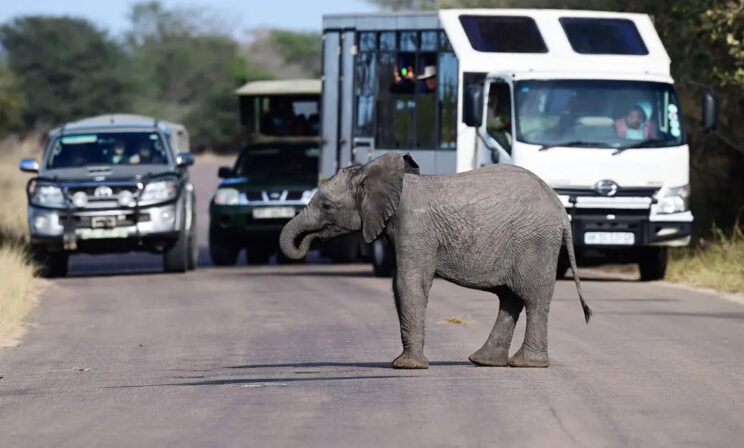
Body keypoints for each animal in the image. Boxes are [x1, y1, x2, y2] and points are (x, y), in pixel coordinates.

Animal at [280, 152, 592, 370]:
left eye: (326, 206)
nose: (307, 243)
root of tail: (560, 208)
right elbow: (399, 286)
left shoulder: (413, 227)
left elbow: (408, 284)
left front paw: (406, 366)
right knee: (510, 298)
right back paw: (483, 361)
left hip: (535, 242)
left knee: (532, 299)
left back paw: (527, 364)